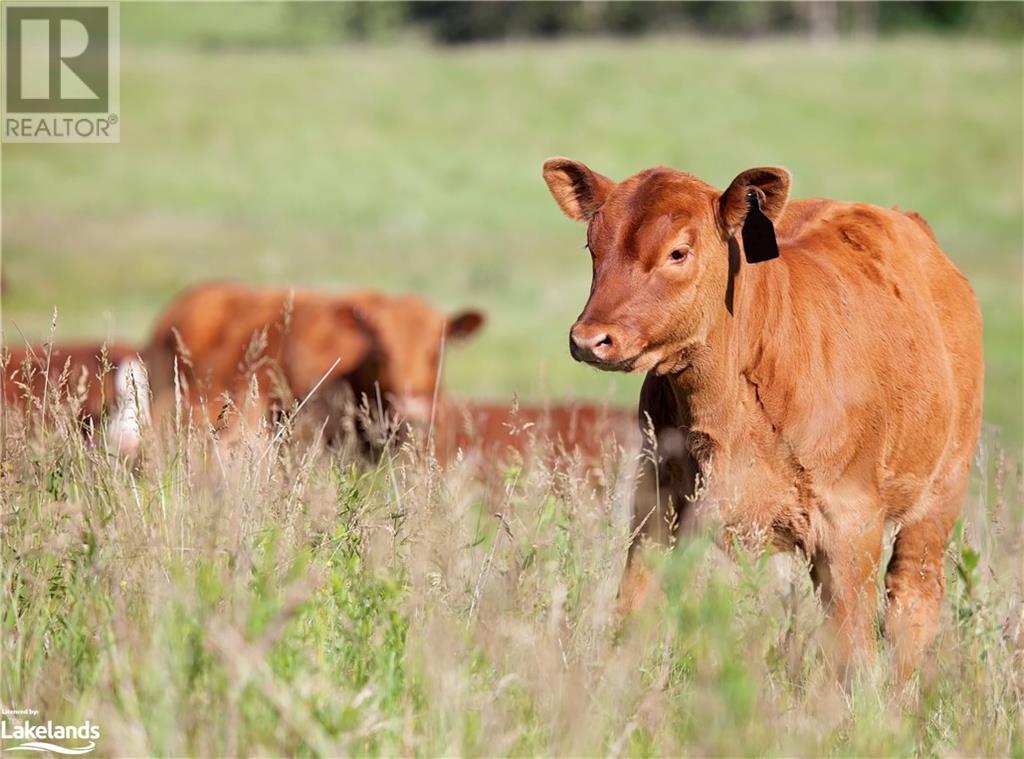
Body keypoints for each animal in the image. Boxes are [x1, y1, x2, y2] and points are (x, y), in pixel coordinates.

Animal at [544, 156, 983, 676]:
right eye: (592, 246)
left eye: (678, 252)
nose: (590, 338)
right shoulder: (657, 499)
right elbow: (635, 609)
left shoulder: (851, 522)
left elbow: (855, 650)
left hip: (941, 491)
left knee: (912, 595)